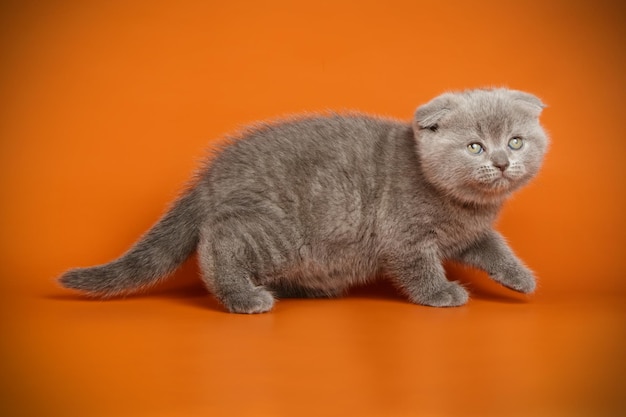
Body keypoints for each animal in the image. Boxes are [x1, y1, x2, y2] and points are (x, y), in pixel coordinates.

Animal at [57, 89, 544, 314]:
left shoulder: (468, 233)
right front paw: (440, 292)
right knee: (220, 238)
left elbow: (493, 246)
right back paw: (243, 295)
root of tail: (212, 175)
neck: (465, 205)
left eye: (515, 142)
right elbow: (417, 265)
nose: (502, 162)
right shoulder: (403, 235)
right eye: (475, 147)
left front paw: (520, 278)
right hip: (278, 229)